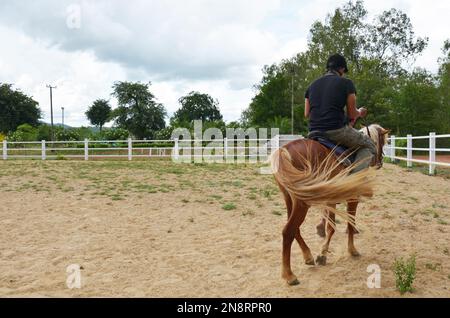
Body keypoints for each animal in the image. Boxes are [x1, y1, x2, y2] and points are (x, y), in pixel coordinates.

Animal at [268, 123, 388, 284]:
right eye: (383, 142)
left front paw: (322, 254)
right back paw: (289, 275)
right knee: (288, 231)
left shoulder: (331, 200)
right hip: (302, 202)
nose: (380, 162)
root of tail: (284, 151)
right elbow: (350, 225)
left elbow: (331, 227)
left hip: (289, 198)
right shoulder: (353, 198)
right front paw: (352, 250)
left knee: (295, 229)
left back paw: (308, 256)